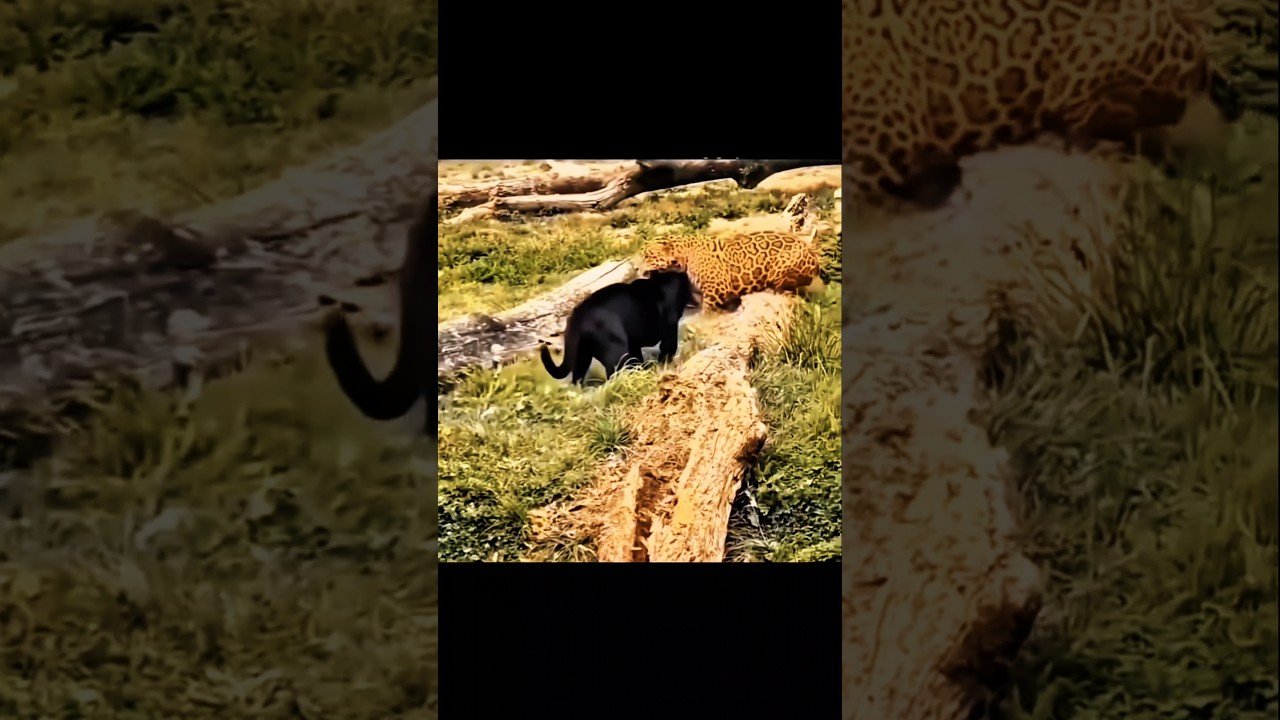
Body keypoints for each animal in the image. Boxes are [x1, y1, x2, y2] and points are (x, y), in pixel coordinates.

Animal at [637, 231, 823, 312]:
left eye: (647, 256)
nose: (636, 267)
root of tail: (814, 257)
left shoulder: (716, 288)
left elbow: (708, 310)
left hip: (783, 266)